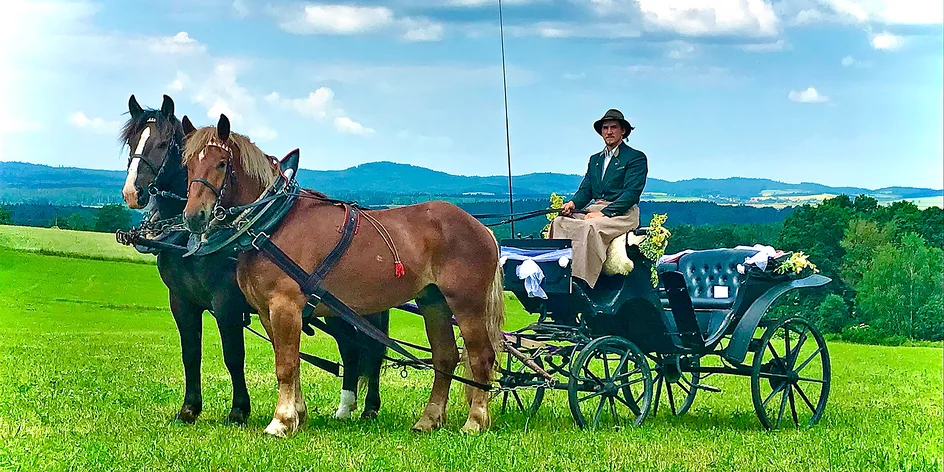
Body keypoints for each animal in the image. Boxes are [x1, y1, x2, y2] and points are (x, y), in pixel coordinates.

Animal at [119, 94, 390, 422]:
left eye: (163, 143)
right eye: (131, 142)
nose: (133, 193)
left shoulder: (226, 303)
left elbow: (233, 355)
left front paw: (239, 410)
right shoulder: (181, 301)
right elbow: (190, 353)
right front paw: (189, 409)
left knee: (372, 348)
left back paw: (370, 407)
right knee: (350, 349)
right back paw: (344, 408)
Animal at [177, 113, 502, 436]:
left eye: (221, 163)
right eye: (188, 164)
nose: (194, 217)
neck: (273, 224)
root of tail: (482, 228)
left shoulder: (285, 306)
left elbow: (285, 366)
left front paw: (281, 421)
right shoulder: (267, 312)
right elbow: (291, 361)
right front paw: (297, 415)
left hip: (467, 303)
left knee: (481, 357)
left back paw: (475, 420)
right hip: (433, 301)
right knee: (445, 357)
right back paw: (429, 419)